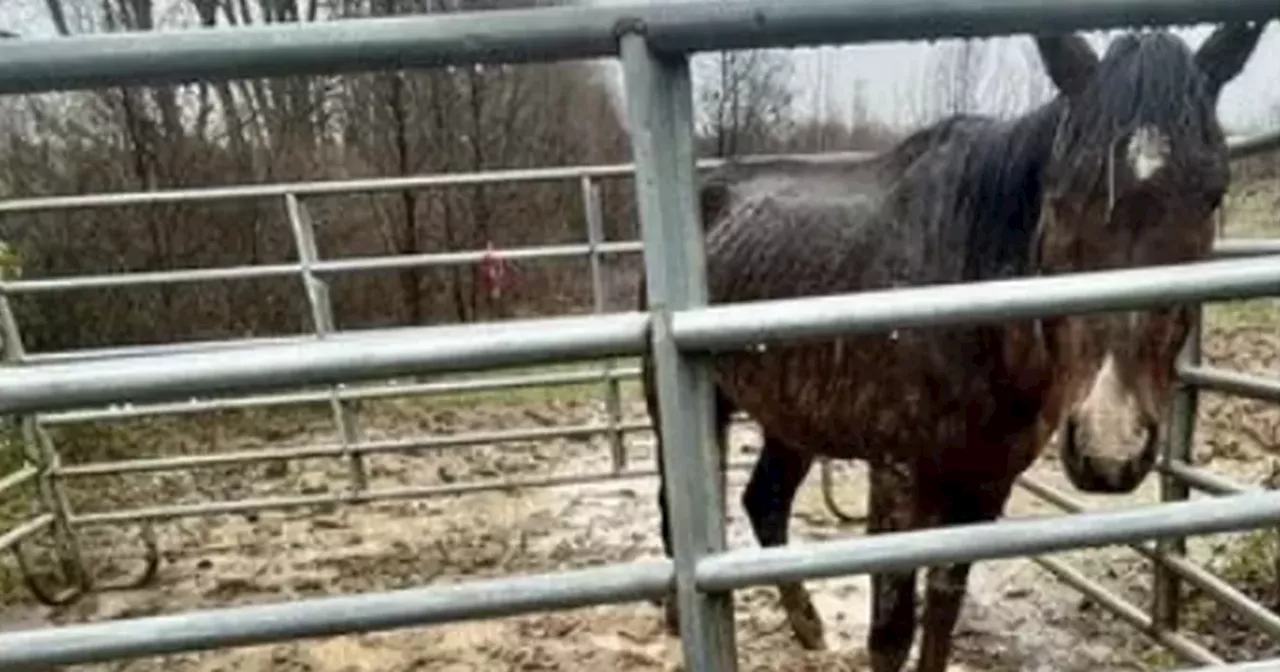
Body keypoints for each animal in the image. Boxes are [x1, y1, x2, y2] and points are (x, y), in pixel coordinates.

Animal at [634, 22, 1264, 670]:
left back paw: (808, 627)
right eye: (1060, 194)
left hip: (790, 418)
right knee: (676, 505)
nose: (1109, 448)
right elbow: (891, 631)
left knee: (766, 501)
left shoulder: (986, 479)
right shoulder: (898, 476)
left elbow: (943, 606)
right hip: (684, 406)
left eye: (1212, 196)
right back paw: (680, 620)